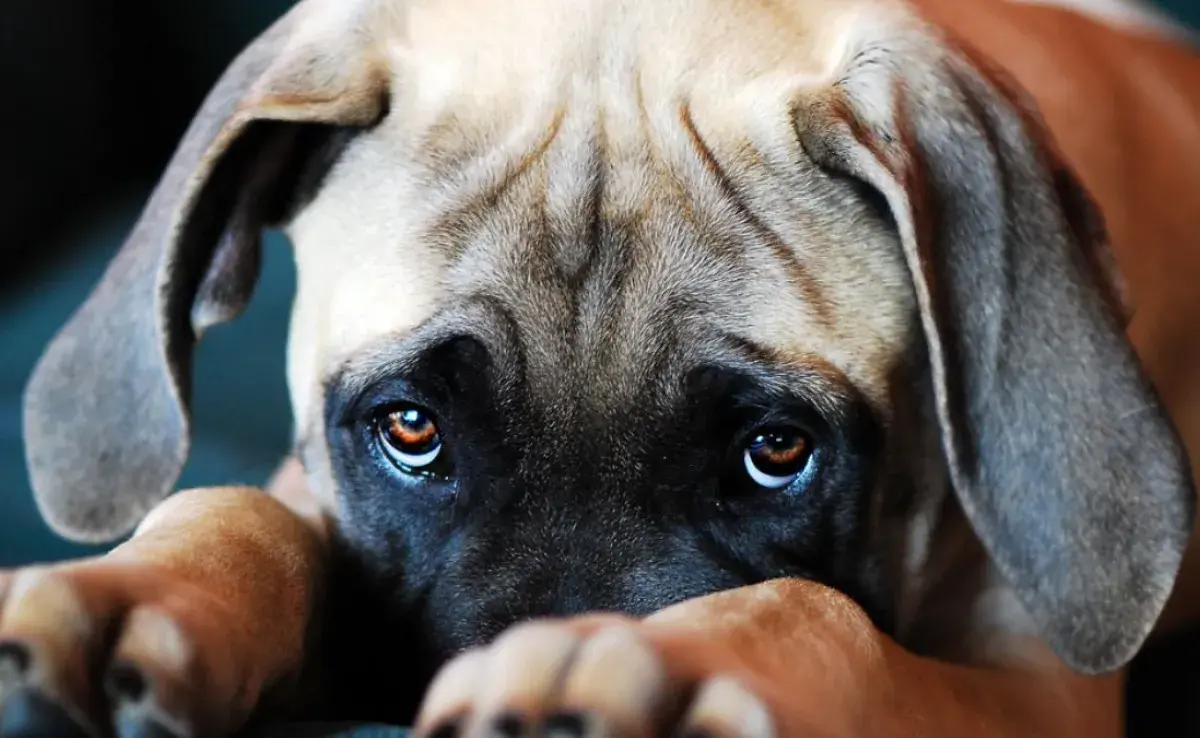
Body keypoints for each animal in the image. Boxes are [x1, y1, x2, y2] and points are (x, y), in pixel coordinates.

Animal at [2, 0, 1200, 734]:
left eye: (776, 451)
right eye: (409, 428)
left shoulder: (1037, 689)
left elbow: (828, 620)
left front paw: (647, 660)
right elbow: (240, 513)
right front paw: (114, 602)